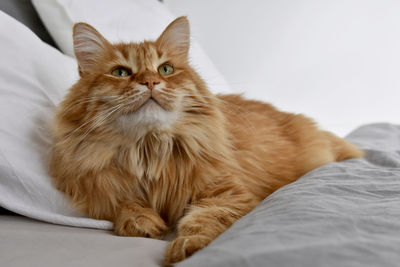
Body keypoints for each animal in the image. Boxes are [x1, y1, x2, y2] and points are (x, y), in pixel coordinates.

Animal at [50, 17, 362, 266]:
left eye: (165, 69)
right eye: (120, 72)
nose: (150, 82)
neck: (150, 150)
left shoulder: (225, 192)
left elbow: (205, 219)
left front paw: (189, 247)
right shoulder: (99, 188)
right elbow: (124, 204)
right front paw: (142, 222)